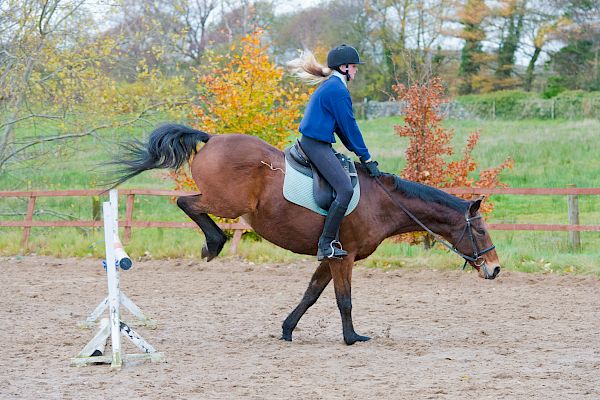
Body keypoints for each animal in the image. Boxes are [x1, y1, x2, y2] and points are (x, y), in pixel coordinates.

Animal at [109, 123, 502, 346]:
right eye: (481, 229)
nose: (496, 269)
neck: (383, 203)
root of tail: (212, 139)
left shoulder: (330, 257)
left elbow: (311, 294)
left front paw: (286, 329)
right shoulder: (345, 258)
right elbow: (344, 300)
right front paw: (351, 338)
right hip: (226, 203)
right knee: (185, 202)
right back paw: (214, 243)